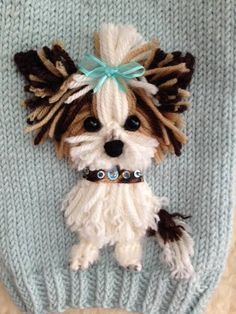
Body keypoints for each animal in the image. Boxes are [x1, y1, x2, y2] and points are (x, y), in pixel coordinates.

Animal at [15, 23, 195, 278]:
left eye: (134, 123)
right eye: (91, 124)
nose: (114, 146)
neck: (112, 177)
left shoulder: (131, 220)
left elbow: (128, 238)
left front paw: (129, 259)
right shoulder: (89, 218)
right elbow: (90, 236)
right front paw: (82, 258)